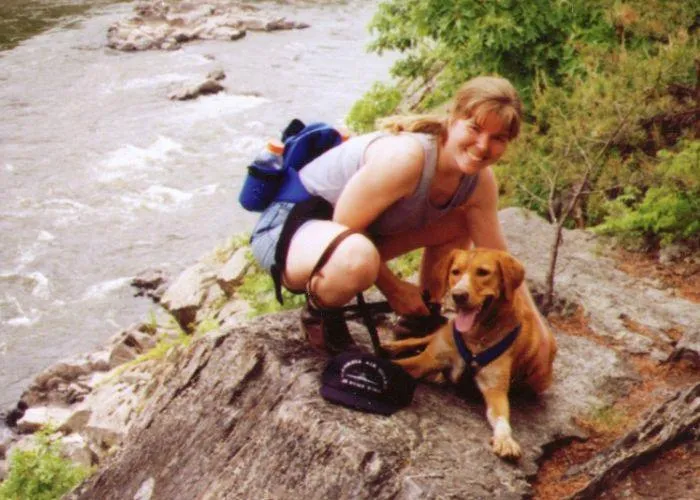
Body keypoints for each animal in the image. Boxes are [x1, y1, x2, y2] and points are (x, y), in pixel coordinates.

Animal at [382, 249, 556, 460]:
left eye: (483, 272)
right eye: (455, 271)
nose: (458, 295)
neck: (476, 336)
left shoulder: (494, 389)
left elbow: (501, 418)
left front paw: (505, 439)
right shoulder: (426, 360)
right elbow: (402, 363)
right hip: (443, 334)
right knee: (422, 339)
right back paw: (392, 346)